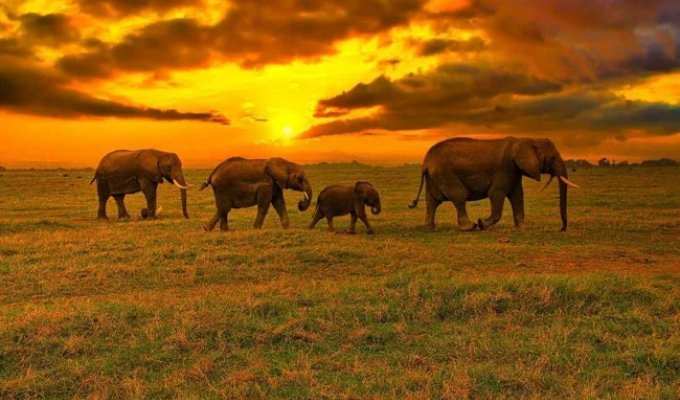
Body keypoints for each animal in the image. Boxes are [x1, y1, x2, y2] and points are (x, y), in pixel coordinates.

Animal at [409, 137, 580, 231]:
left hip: (435, 176)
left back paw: (431, 229)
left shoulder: (514, 170)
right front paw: (482, 223)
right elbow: (496, 194)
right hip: (444, 173)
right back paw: (470, 227)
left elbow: (517, 196)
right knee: (459, 196)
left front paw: (522, 228)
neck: (526, 139)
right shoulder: (506, 167)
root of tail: (426, 161)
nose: (562, 229)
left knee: (432, 202)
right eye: (552, 158)